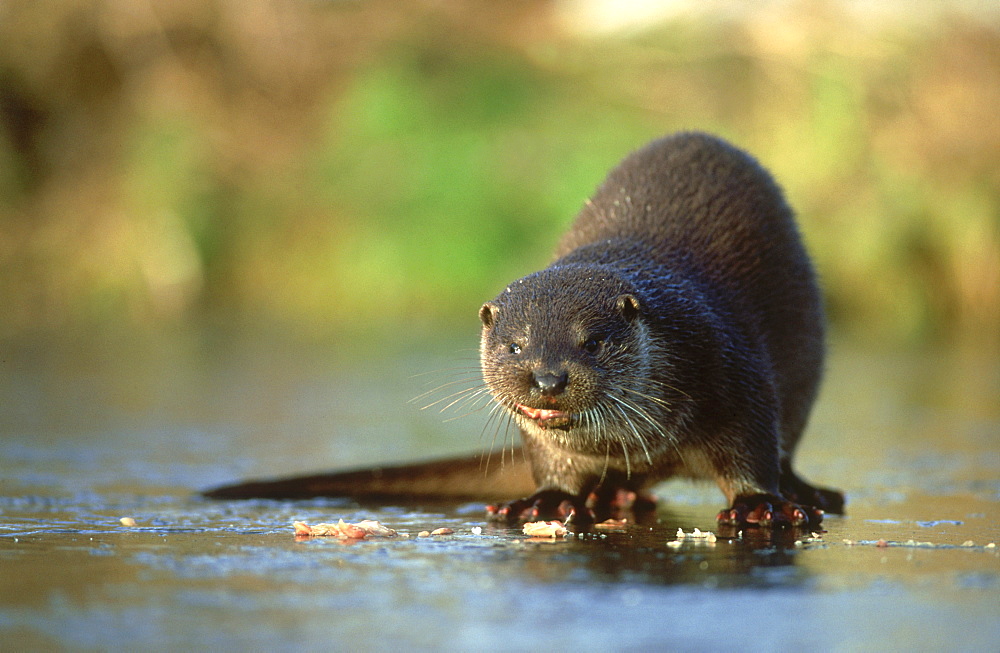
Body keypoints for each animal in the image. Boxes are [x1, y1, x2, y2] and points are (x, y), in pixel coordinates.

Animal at [205, 134, 844, 528]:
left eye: (592, 341)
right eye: (515, 345)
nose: (548, 378)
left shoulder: (733, 370)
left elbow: (752, 452)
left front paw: (761, 508)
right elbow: (551, 463)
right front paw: (546, 502)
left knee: (788, 447)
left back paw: (807, 492)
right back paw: (612, 493)